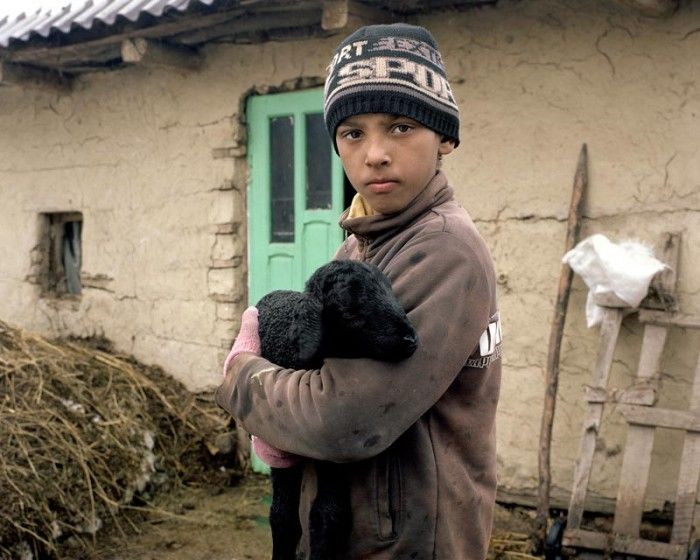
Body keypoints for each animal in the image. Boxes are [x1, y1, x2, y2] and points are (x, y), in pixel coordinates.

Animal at [258, 262, 418, 560]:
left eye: (391, 291)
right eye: (348, 313)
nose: (410, 339)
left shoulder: (333, 449)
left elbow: (329, 515)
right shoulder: (279, 445)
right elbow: (283, 516)